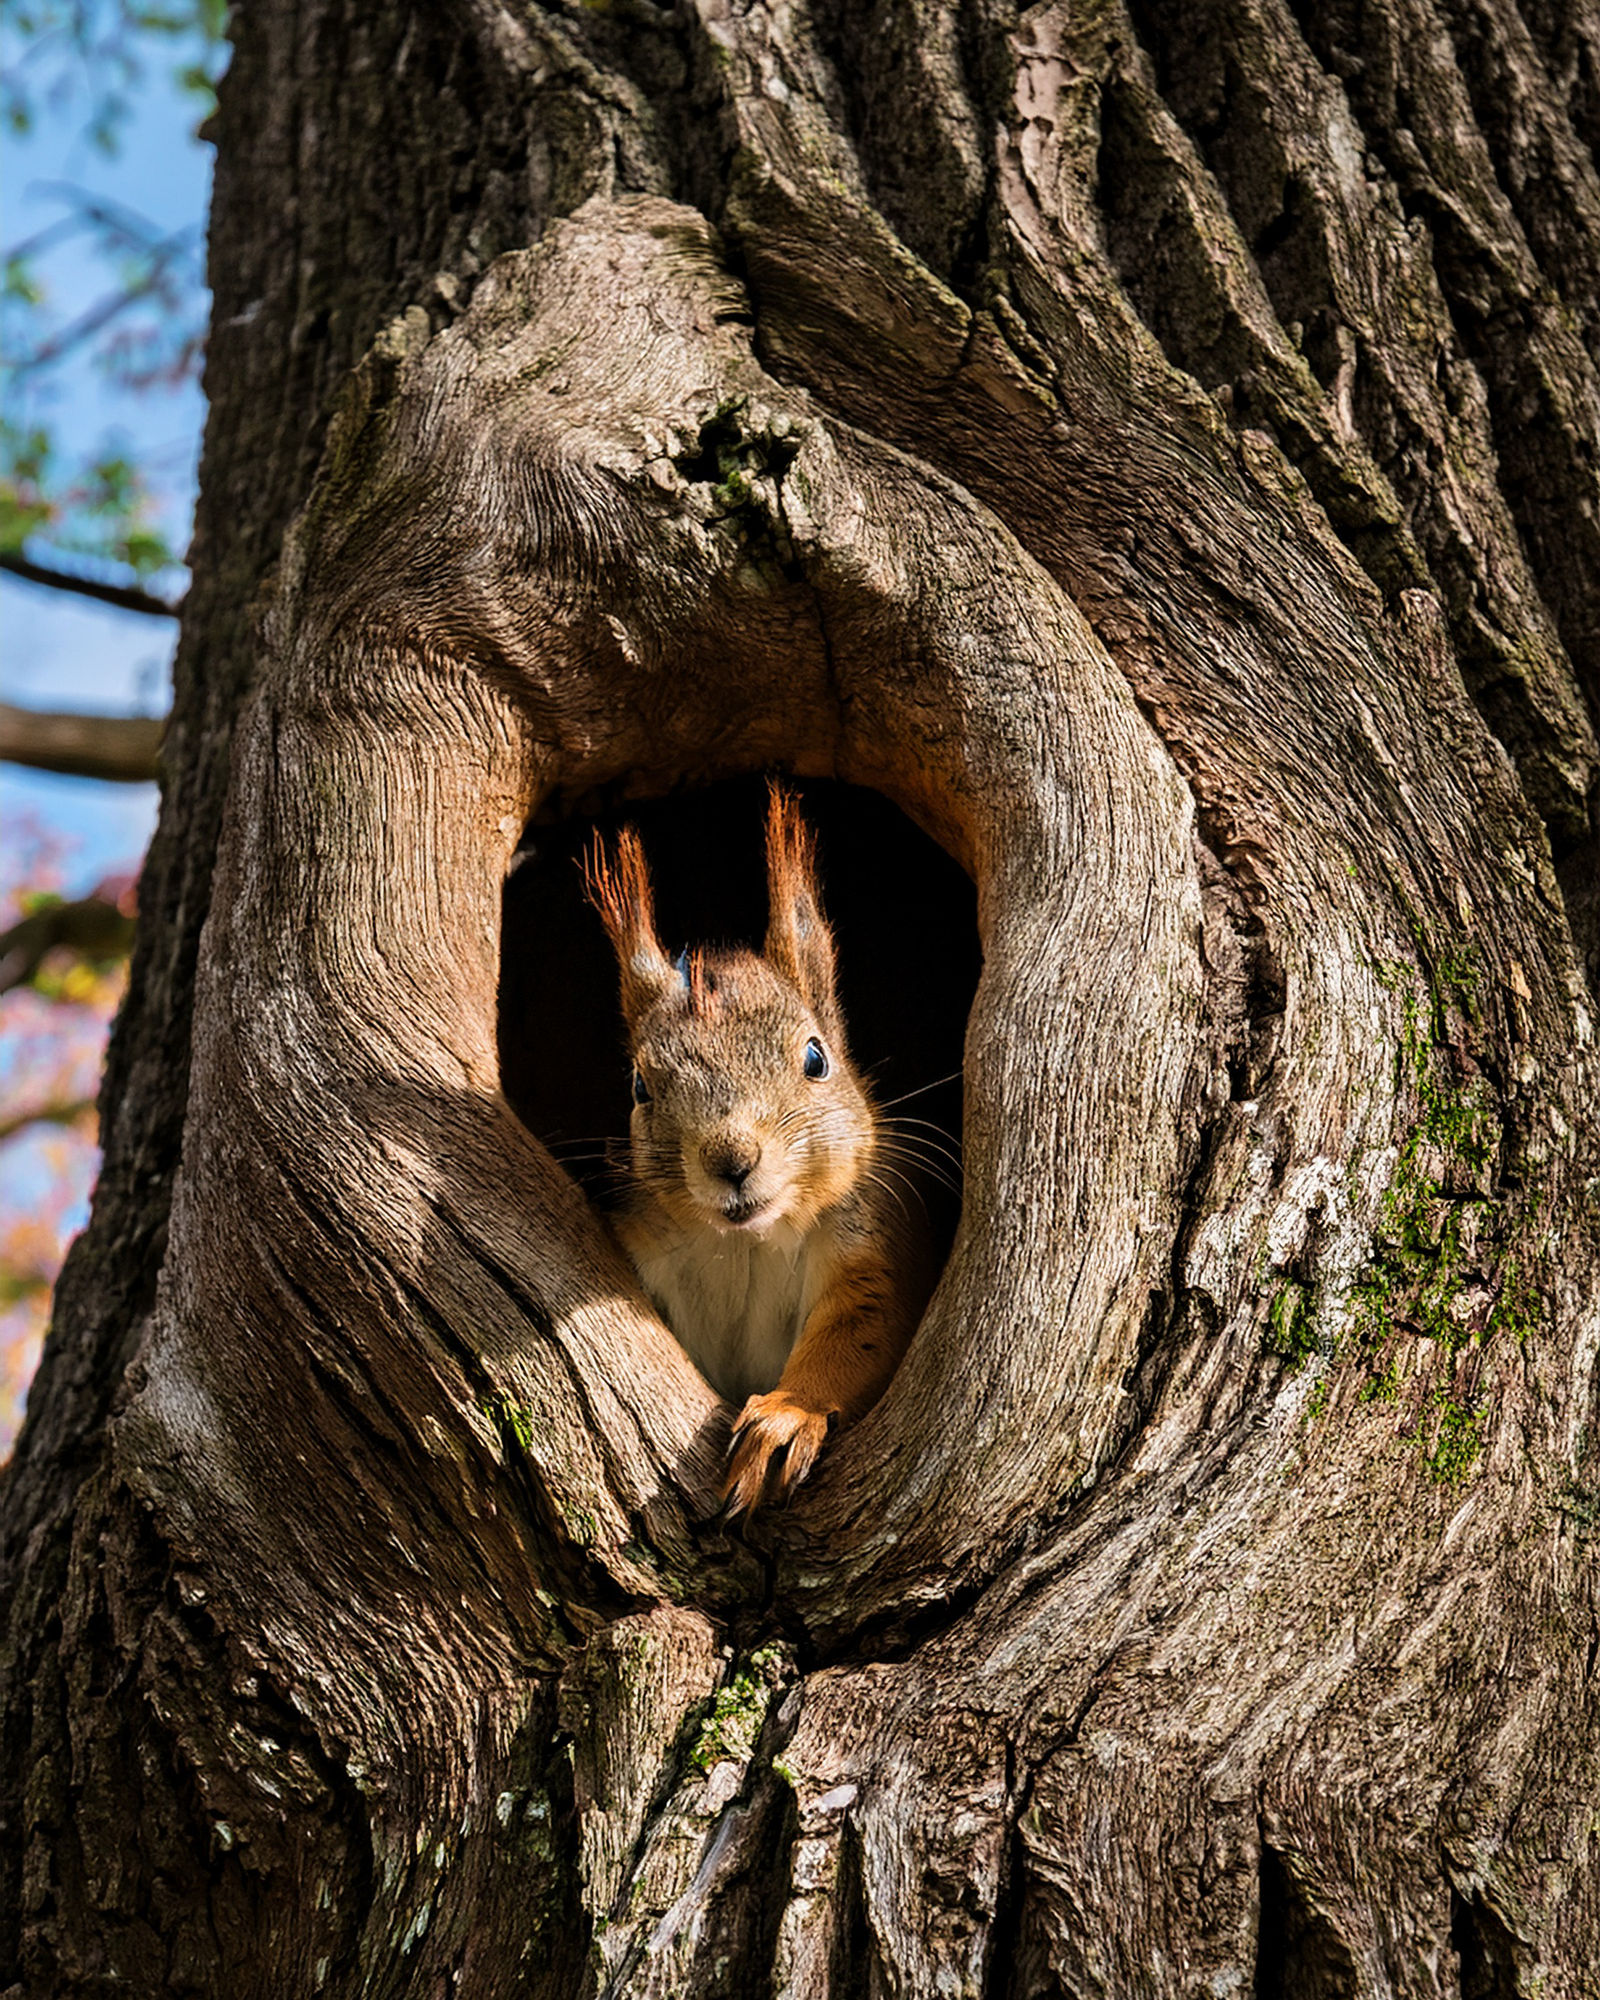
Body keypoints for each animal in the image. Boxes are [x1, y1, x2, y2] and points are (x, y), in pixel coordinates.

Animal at [585, 784, 934, 1514]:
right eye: (639, 1086)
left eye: (816, 1058)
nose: (732, 1160)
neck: (746, 1242)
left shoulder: (872, 1249)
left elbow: (857, 1335)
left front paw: (786, 1420)